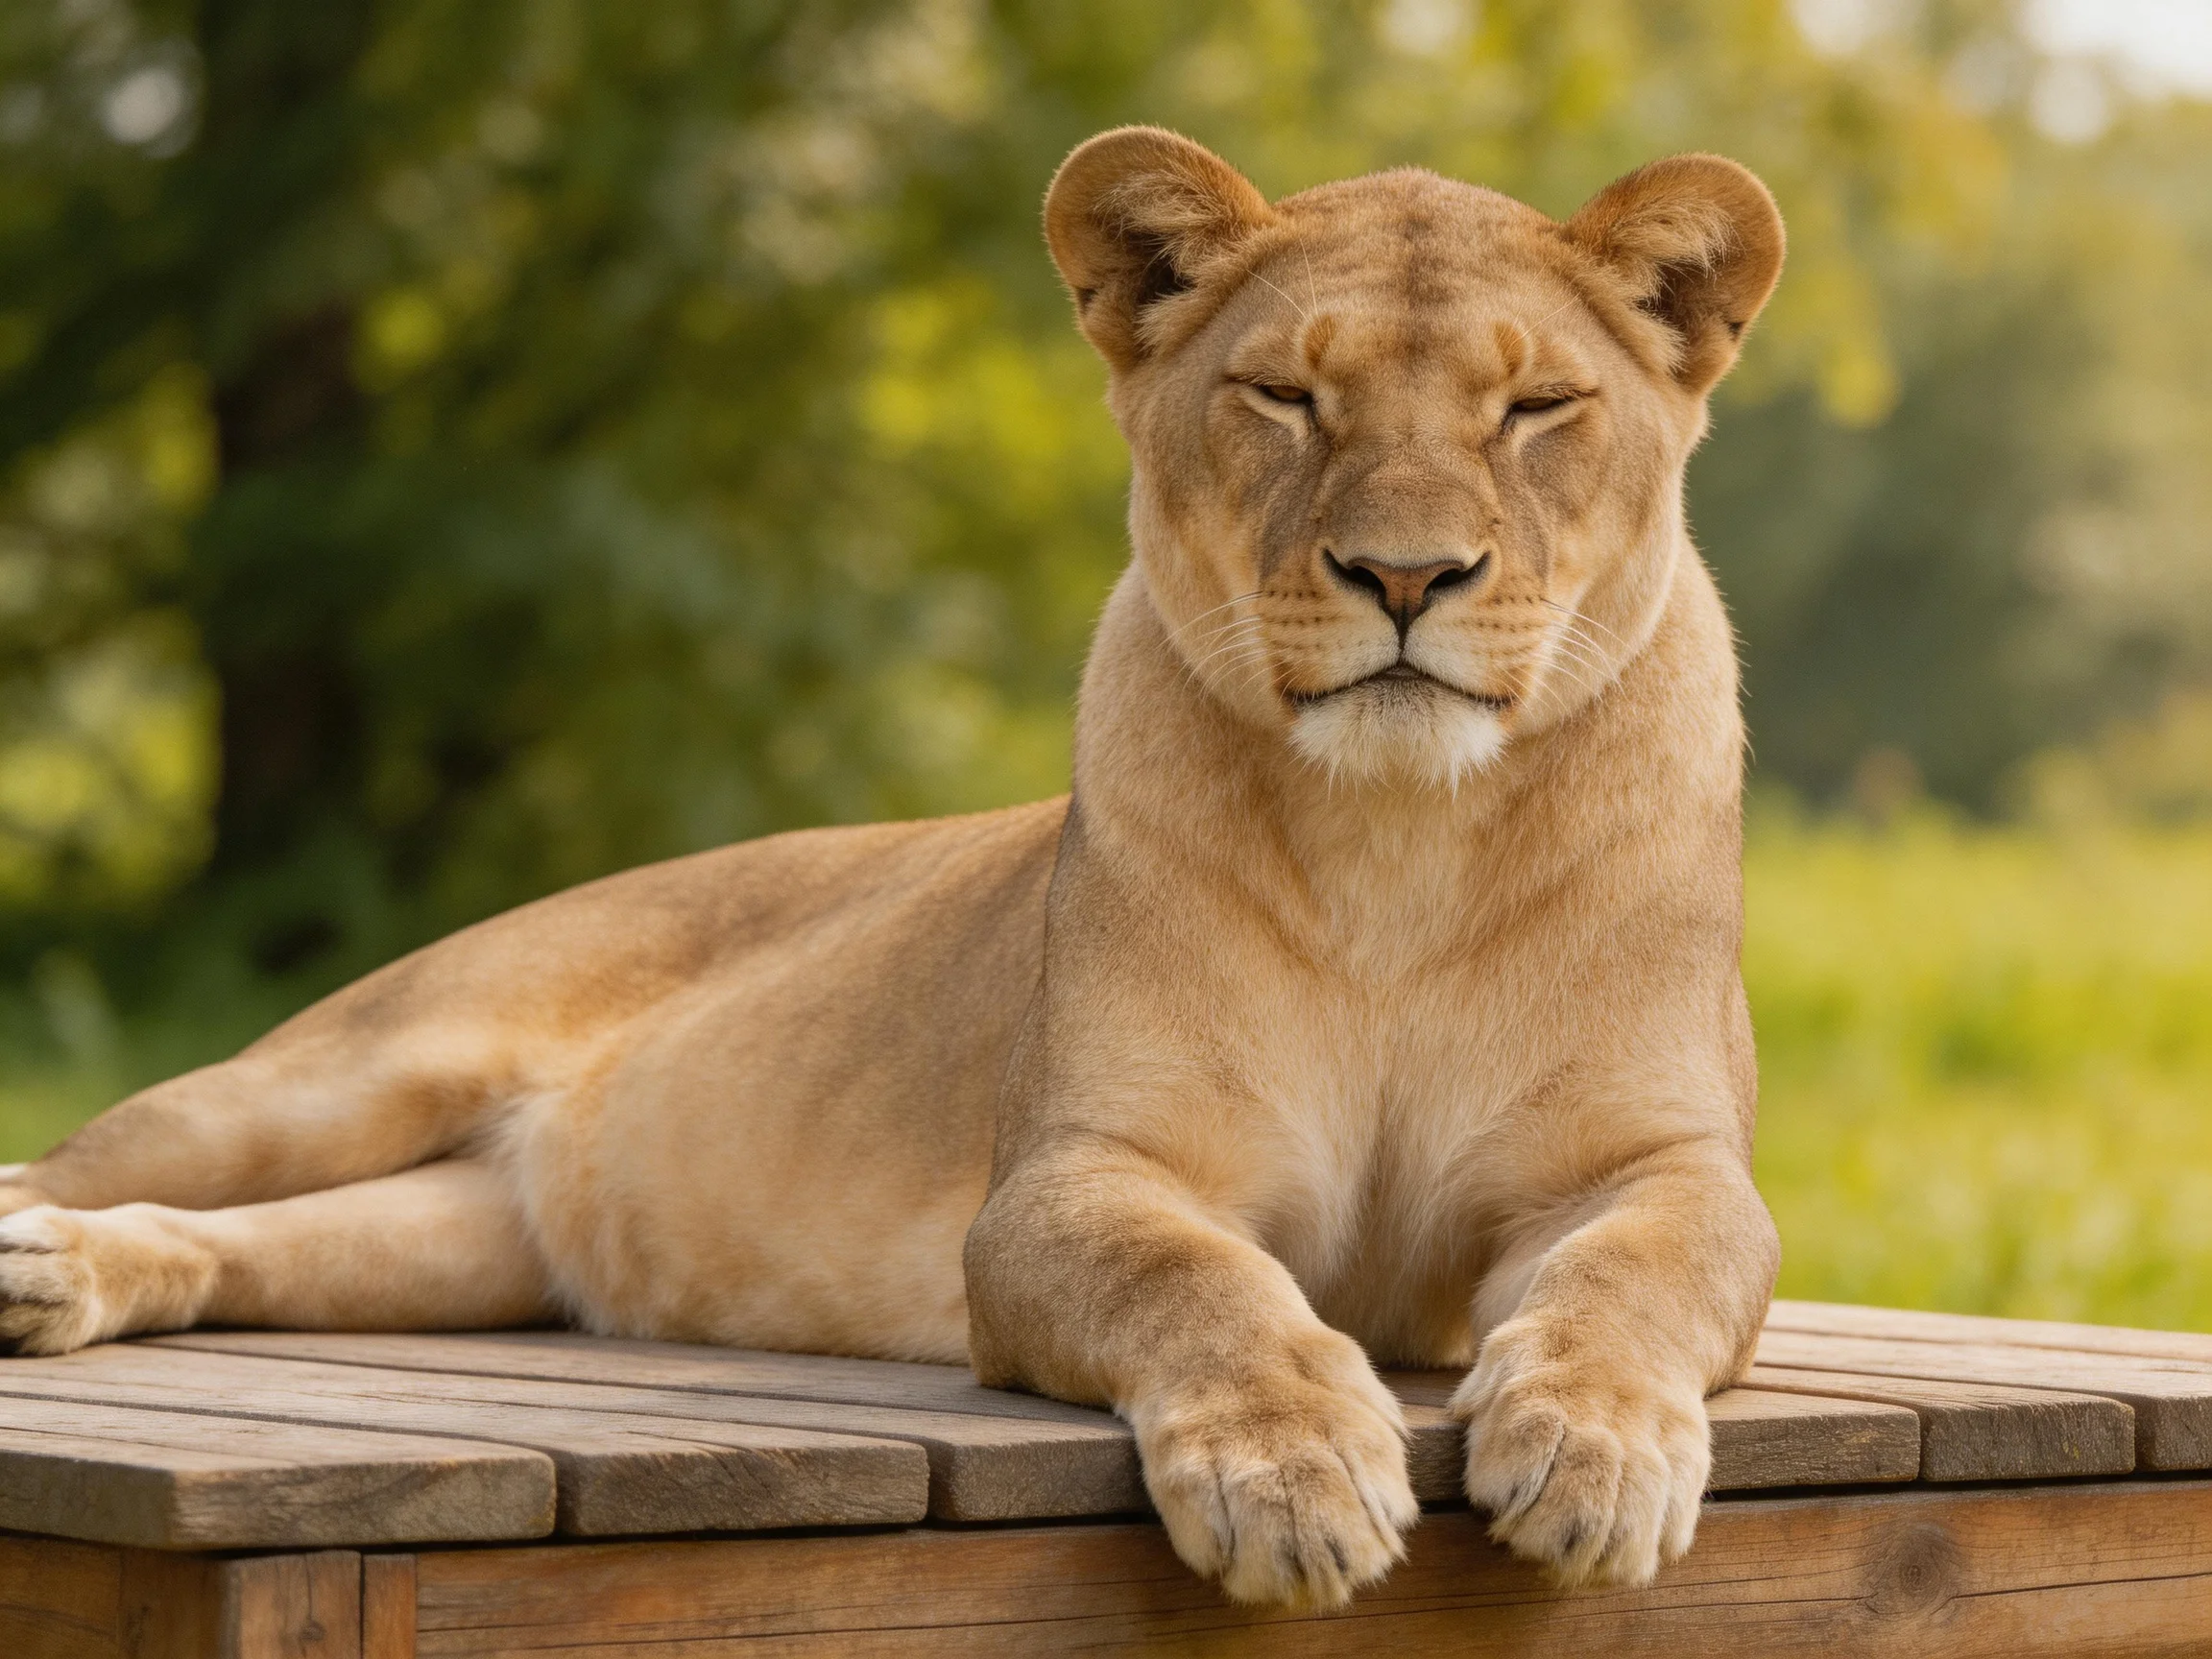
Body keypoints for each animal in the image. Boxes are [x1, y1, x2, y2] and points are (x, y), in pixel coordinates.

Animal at [0, 128, 1785, 1609]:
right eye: (1284, 395)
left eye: (1535, 410)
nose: (1405, 575)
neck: (1402, 842)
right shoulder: (1065, 1176)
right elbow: (1197, 1277)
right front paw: (1289, 1475)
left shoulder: (1658, 1160)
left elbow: (1640, 1275)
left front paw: (1594, 1449)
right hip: (338, 1073)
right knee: (95, 1156)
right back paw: (35, 1254)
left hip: (467, 1242)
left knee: (244, 1244)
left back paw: (67, 1278)